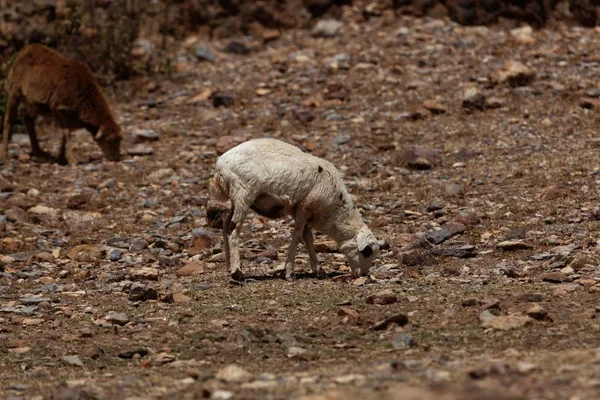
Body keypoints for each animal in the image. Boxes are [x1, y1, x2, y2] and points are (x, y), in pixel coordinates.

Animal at [209, 138, 382, 282]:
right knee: (233, 230)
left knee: (225, 226)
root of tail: (220, 166)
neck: (334, 210)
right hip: (243, 193)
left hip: (235, 199)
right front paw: (289, 273)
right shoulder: (305, 206)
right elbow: (297, 236)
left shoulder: (298, 209)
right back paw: (237, 273)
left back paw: (229, 266)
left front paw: (319, 270)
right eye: (367, 251)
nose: (363, 275)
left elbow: (308, 237)